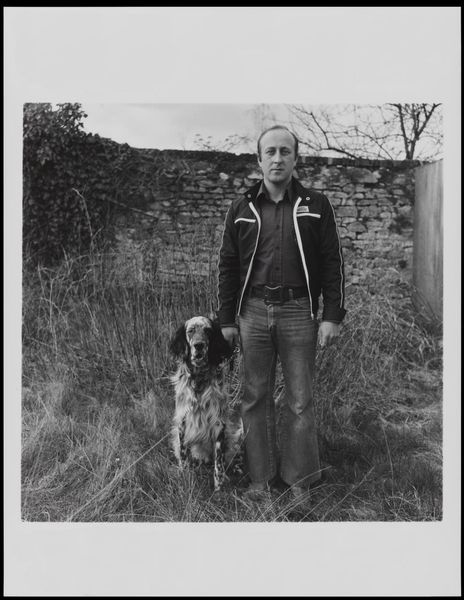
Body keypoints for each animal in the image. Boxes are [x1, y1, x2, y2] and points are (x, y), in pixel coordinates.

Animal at [169, 316, 242, 491]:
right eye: (190, 331)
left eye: (208, 331)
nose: (199, 345)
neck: (199, 379)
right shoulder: (182, 422)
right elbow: (184, 456)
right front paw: (185, 480)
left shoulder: (219, 424)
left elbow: (219, 464)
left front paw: (218, 489)